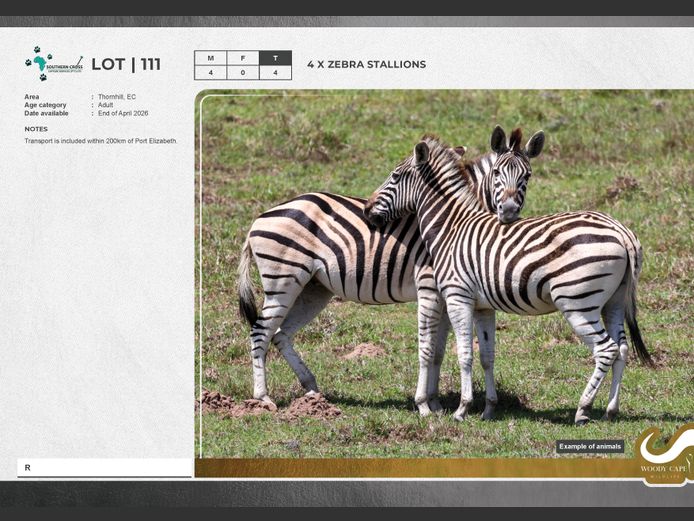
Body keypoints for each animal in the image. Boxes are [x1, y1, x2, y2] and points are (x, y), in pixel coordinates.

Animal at [237, 127, 544, 415]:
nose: (508, 212)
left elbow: (438, 351)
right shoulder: (430, 286)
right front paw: (424, 404)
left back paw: (311, 390)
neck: (454, 222)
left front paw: (435, 403)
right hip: (283, 280)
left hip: (314, 288)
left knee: (281, 334)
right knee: (260, 332)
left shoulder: (447, 293)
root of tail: (259, 219)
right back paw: (263, 398)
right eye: (496, 173)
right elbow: (428, 347)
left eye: (527, 176)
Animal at [364, 132, 653, 425]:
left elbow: (464, 354)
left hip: (577, 301)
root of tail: (622, 232)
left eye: (395, 176)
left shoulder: (458, 297)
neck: (451, 227)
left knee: (606, 350)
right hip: (613, 301)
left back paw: (583, 409)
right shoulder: (483, 306)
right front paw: (489, 408)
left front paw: (462, 408)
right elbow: (487, 355)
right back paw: (610, 410)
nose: (367, 209)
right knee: (622, 349)